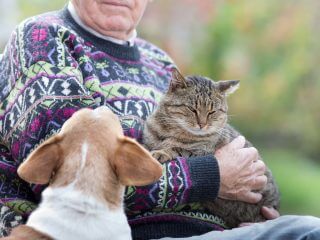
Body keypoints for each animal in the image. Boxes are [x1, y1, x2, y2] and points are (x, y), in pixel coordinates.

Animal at [143, 68, 280, 228]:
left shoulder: (201, 152)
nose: (202, 124)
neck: (170, 131)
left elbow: (177, 149)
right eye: (192, 109)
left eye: (212, 112)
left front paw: (161, 152)